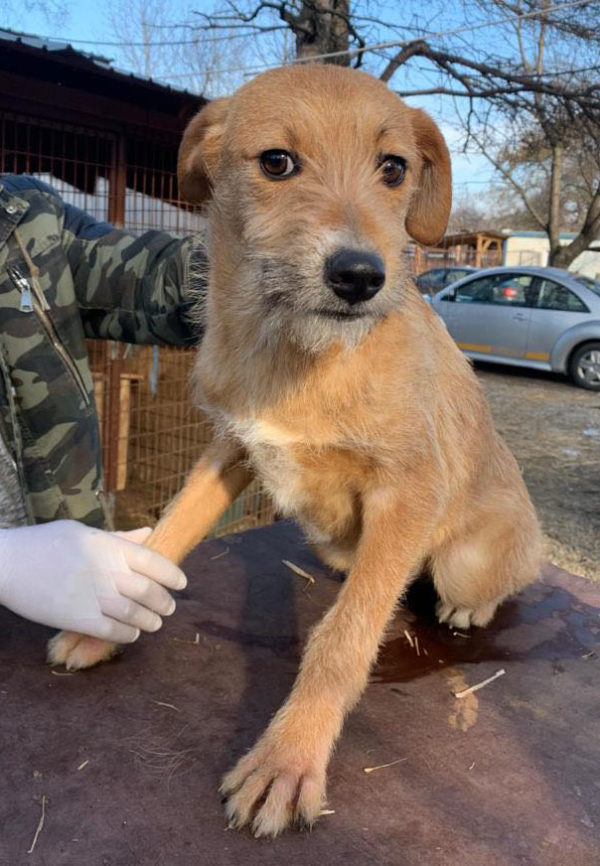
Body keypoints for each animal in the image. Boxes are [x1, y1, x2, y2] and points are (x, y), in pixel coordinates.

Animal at [49, 66, 540, 836]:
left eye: (393, 168)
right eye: (277, 162)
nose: (360, 277)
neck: (300, 350)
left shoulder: (411, 489)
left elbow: (343, 639)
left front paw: (291, 756)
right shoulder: (232, 449)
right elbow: (168, 535)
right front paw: (107, 617)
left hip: (468, 560)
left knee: (492, 577)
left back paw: (471, 608)